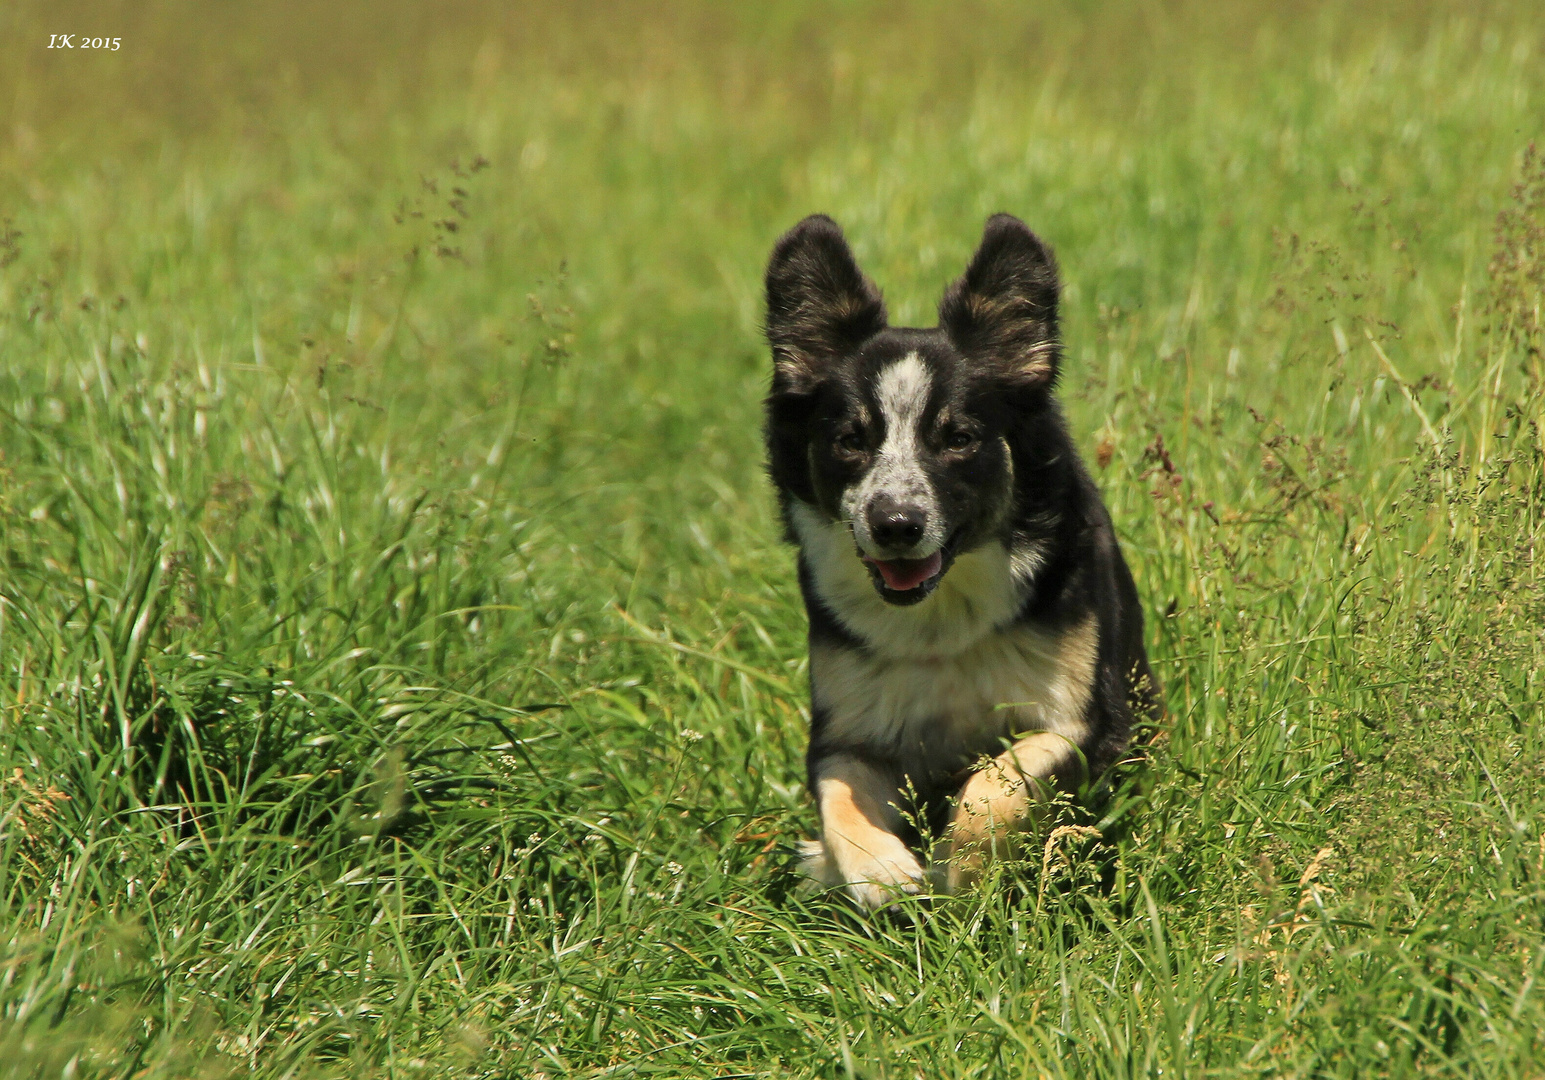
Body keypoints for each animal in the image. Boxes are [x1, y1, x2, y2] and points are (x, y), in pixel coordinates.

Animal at [760, 214, 1161, 908]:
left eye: (959, 438)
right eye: (850, 440)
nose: (896, 525)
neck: (940, 617)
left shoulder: (1085, 720)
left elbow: (994, 786)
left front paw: (962, 868)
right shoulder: (847, 732)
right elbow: (838, 796)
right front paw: (875, 869)